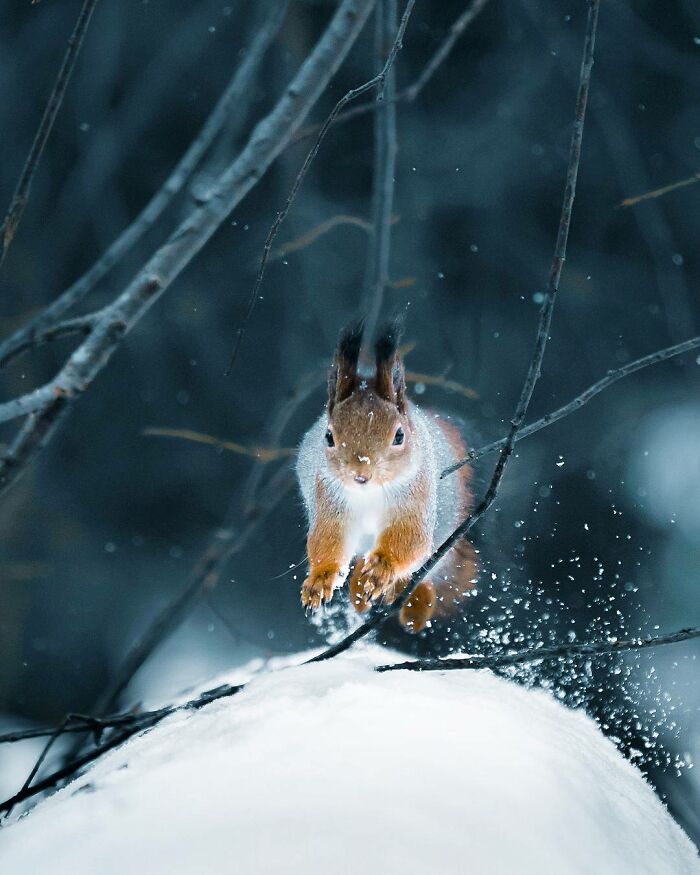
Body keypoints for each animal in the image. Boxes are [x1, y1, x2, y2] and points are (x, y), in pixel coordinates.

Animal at [296, 318, 476, 633]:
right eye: (329, 437)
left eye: (399, 436)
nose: (360, 474)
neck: (368, 494)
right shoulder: (329, 496)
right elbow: (327, 540)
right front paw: (320, 580)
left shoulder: (415, 496)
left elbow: (410, 538)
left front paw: (381, 569)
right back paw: (360, 590)